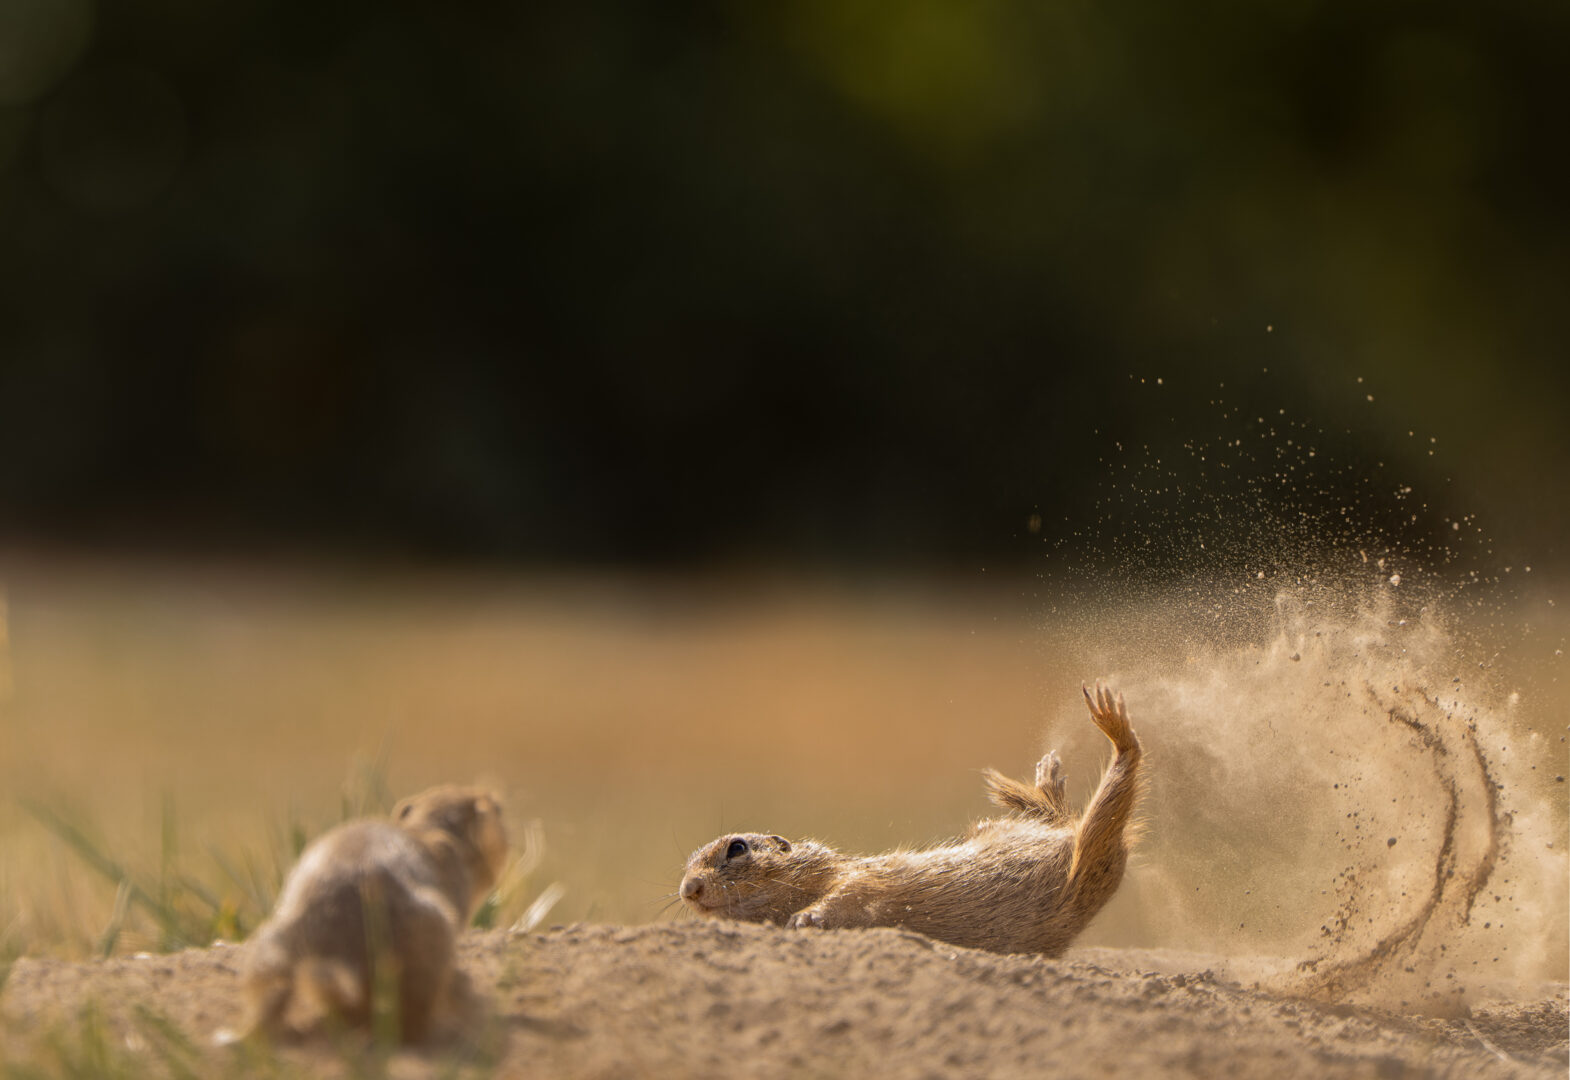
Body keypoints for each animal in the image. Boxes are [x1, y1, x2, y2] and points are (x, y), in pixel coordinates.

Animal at [678, 684, 1143, 956]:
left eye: (737, 848)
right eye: (686, 865)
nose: (688, 889)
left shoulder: (858, 878)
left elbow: (851, 892)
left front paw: (806, 917)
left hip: (1086, 851)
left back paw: (1098, 737)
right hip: (1089, 849)